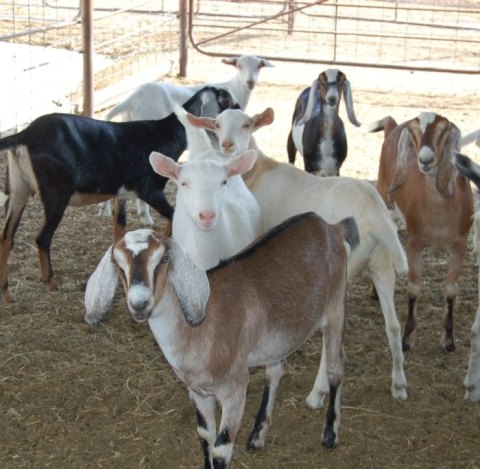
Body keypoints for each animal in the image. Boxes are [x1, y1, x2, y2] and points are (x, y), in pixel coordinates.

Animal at [0, 86, 238, 302]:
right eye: (225, 101)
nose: (240, 109)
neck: (164, 134)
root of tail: (25, 135)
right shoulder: (150, 190)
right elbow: (172, 216)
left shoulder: (122, 193)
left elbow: (119, 226)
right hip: (56, 194)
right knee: (42, 238)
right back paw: (50, 282)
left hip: (18, 191)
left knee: (6, 238)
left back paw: (6, 293)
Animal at [84, 213, 358, 468]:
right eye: (117, 264)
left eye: (162, 260)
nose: (140, 303)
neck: (199, 330)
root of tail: (329, 226)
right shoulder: (199, 392)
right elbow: (205, 436)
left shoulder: (235, 388)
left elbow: (221, 449)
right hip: (279, 338)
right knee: (276, 370)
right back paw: (257, 435)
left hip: (336, 307)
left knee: (337, 366)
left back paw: (330, 435)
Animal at [184, 108, 408, 400]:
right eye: (217, 125)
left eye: (247, 125)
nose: (227, 146)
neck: (258, 171)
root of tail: (375, 212)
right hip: (381, 264)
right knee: (393, 326)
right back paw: (399, 383)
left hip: (340, 271)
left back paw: (317, 392)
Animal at [372, 110, 472, 352]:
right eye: (415, 132)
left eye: (443, 130)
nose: (425, 160)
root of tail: (393, 126)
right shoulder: (415, 242)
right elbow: (414, 288)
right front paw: (407, 339)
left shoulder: (460, 245)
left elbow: (451, 291)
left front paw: (448, 340)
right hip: (383, 196)